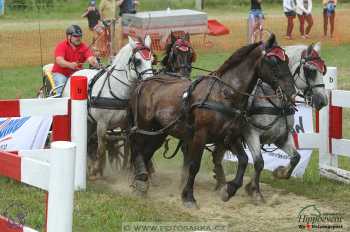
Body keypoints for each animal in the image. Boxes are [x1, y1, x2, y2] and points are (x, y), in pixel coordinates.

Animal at [63, 35, 153, 179]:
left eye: (153, 60)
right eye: (138, 61)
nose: (150, 80)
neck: (117, 90)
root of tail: (76, 73)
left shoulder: (127, 125)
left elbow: (127, 147)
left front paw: (124, 169)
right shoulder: (102, 124)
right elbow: (101, 148)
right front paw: (96, 171)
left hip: (90, 121)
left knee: (88, 141)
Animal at [128, 35, 296, 208]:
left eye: (286, 59)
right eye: (273, 61)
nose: (291, 91)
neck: (224, 94)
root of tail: (145, 82)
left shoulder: (229, 136)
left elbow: (243, 160)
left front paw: (229, 189)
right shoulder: (200, 135)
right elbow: (194, 166)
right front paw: (188, 197)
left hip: (159, 132)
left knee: (146, 152)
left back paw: (141, 181)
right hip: (144, 126)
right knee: (136, 147)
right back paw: (140, 180)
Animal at [212, 42, 330, 201]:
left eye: (323, 70)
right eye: (310, 70)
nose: (322, 101)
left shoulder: (281, 138)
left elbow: (296, 157)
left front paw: (279, 173)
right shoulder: (251, 134)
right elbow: (259, 162)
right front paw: (254, 190)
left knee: (217, 156)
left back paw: (220, 181)